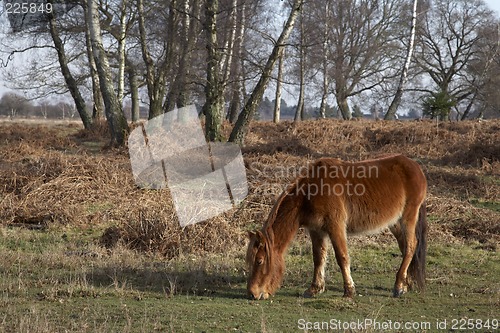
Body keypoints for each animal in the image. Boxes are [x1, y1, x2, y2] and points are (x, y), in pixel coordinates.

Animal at [246, 154, 426, 300]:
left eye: (260, 261)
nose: (252, 293)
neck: (311, 191)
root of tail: (416, 167)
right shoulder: (316, 231)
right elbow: (318, 258)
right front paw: (314, 289)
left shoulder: (335, 227)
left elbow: (342, 257)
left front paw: (349, 291)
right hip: (394, 223)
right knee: (404, 247)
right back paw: (406, 283)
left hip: (408, 217)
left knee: (411, 246)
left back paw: (398, 286)